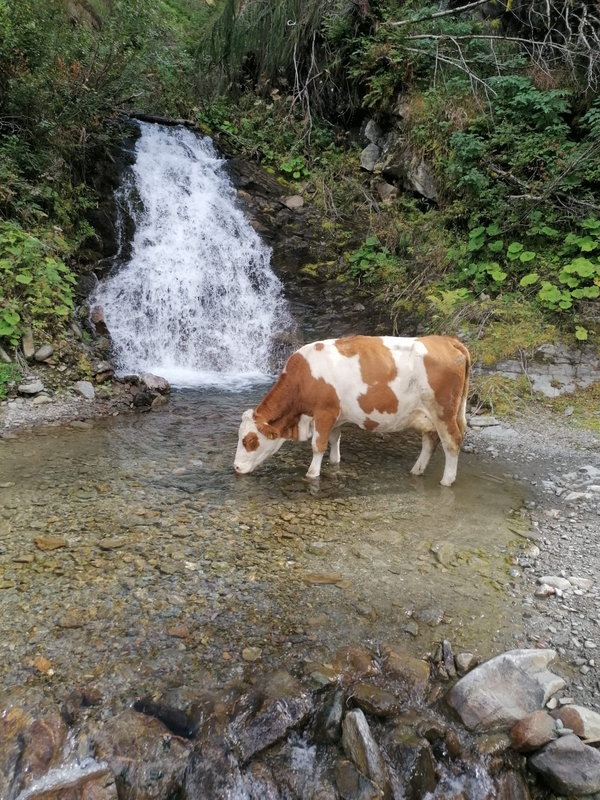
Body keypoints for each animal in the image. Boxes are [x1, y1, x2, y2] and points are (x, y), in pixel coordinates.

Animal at [232, 334, 472, 484]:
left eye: (249, 440)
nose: (235, 468)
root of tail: (448, 341)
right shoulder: (336, 416)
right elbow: (334, 441)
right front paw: (334, 463)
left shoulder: (324, 412)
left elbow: (317, 446)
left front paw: (312, 474)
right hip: (428, 414)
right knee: (430, 441)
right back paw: (417, 470)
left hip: (443, 411)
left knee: (452, 442)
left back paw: (447, 481)